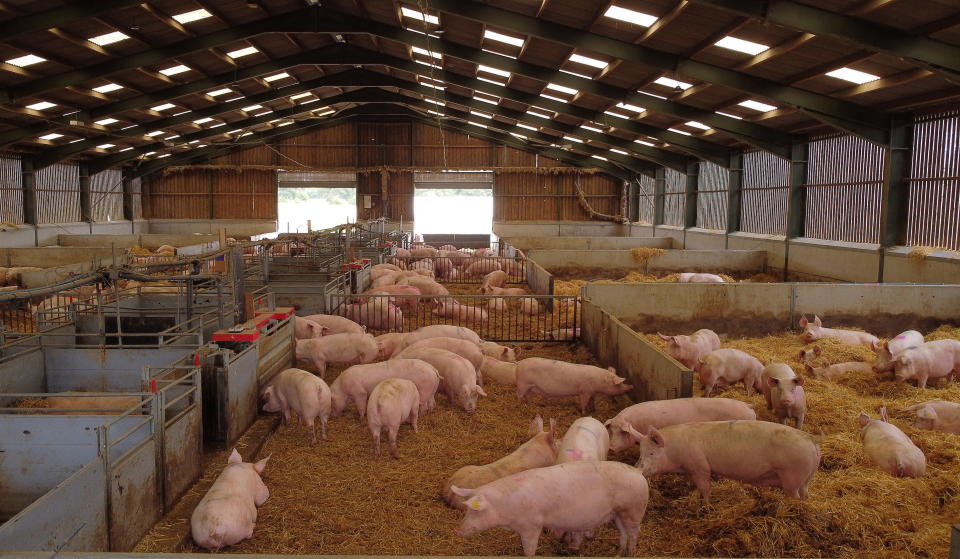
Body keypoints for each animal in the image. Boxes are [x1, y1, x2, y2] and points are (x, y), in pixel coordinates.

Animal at [452, 462, 648, 556]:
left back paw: (631, 553)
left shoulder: (532, 526)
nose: (458, 531)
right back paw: (619, 554)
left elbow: (529, 549)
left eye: (475, 510)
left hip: (634, 509)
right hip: (618, 513)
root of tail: (638, 472)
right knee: (624, 533)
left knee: (635, 533)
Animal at [632, 422, 820, 506]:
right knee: (806, 495)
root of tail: (812, 440)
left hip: (792, 477)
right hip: (806, 479)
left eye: (652, 453)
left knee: (795, 496)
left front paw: (706, 507)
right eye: (640, 452)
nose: (637, 469)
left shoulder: (700, 467)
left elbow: (705, 488)